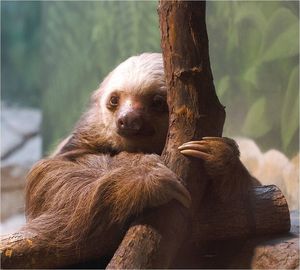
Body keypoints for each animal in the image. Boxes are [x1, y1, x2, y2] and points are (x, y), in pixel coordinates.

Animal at [24, 51, 258, 264]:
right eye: (114, 100)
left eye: (157, 102)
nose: (128, 118)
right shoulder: (79, 143)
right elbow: (50, 178)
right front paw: (143, 179)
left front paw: (221, 155)